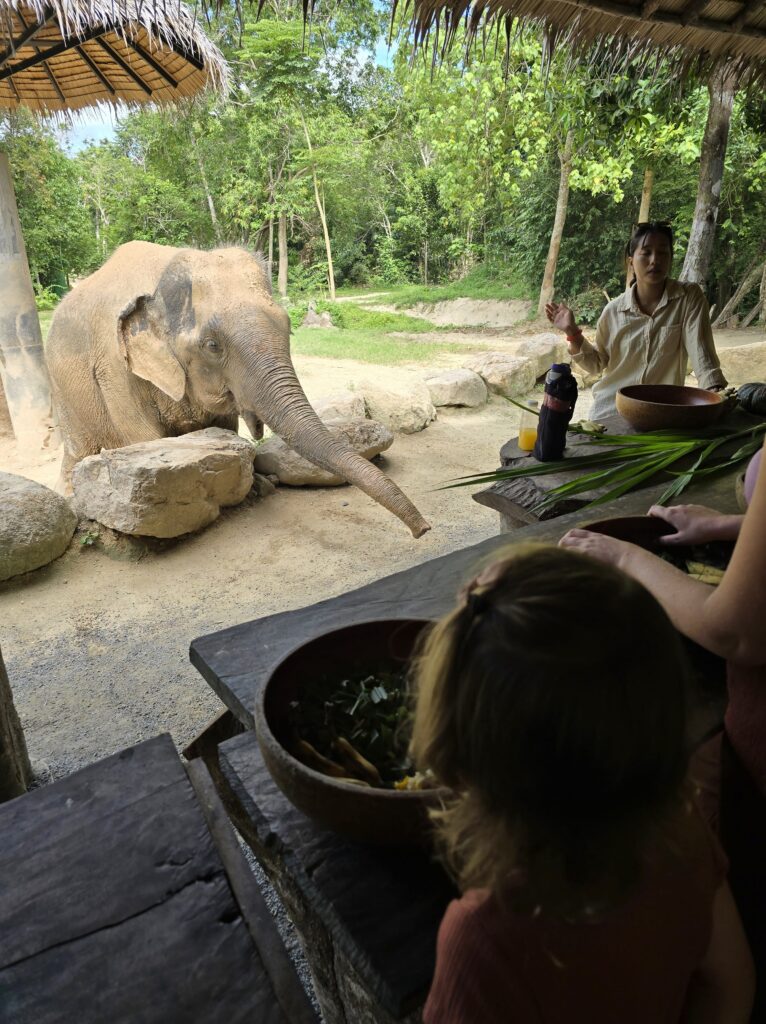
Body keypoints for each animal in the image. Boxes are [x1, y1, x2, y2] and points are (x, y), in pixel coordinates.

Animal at [46, 242, 430, 540]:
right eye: (213, 345)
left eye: (289, 326)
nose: (423, 529)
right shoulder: (115, 370)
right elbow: (145, 438)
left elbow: (224, 427)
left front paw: (255, 483)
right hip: (63, 389)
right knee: (79, 448)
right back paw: (71, 496)